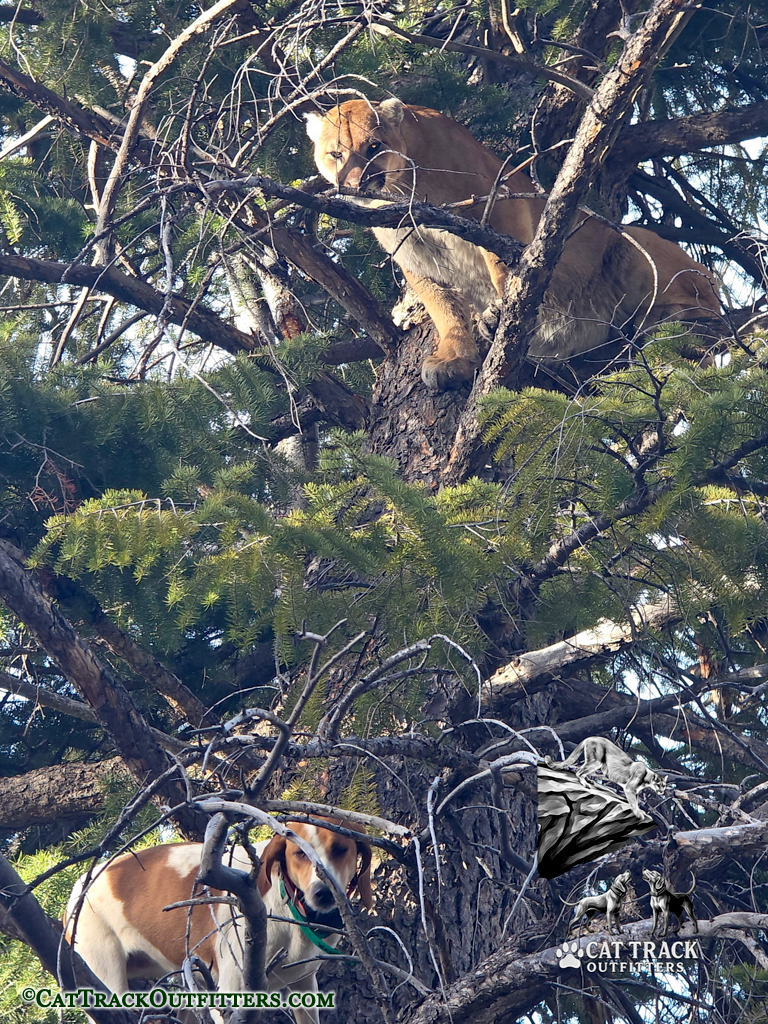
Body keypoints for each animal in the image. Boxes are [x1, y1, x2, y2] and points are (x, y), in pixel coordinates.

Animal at [305, 98, 720, 391]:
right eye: (336, 153)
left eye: (374, 146)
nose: (354, 184)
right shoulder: (418, 259)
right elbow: (444, 309)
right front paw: (454, 359)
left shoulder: (497, 207)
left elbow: (505, 267)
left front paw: (501, 313)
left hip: (635, 245)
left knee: (708, 323)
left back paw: (673, 320)